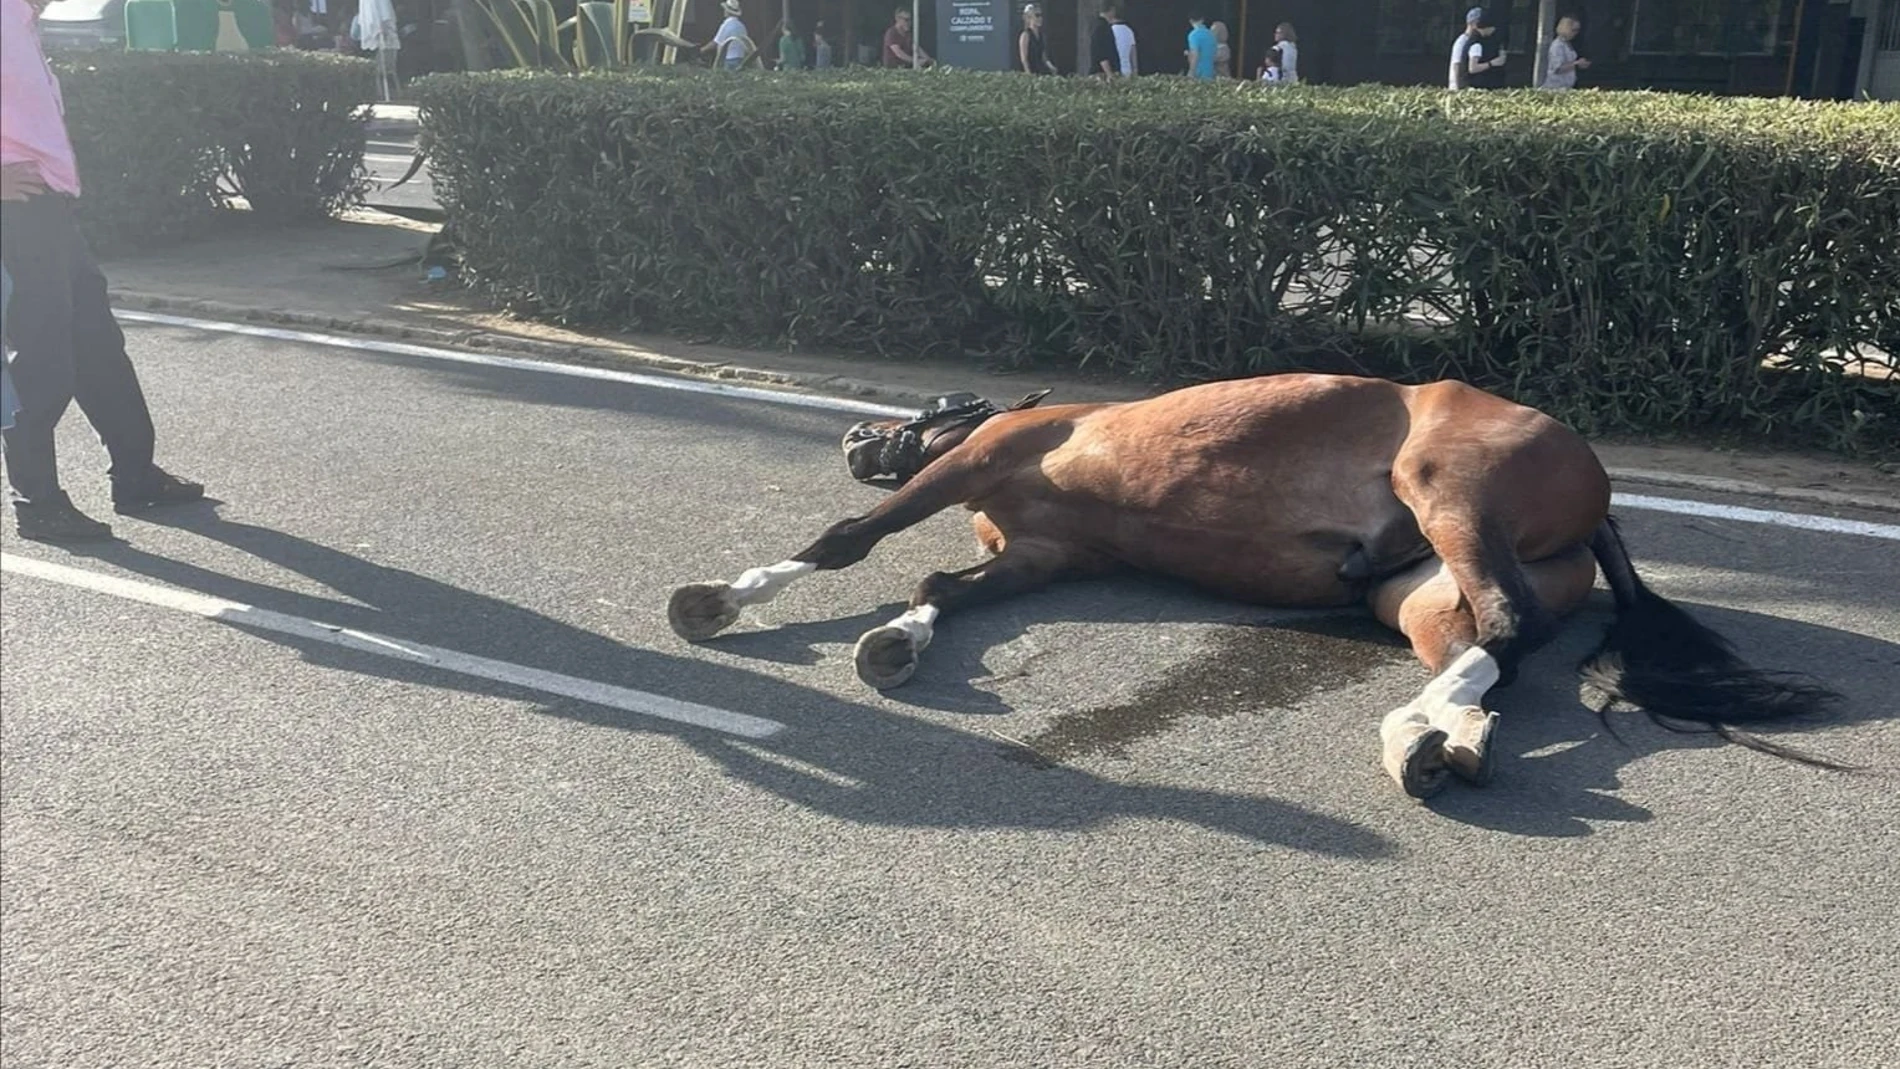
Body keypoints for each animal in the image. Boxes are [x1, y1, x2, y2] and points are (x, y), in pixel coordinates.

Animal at [668, 372, 1839, 797]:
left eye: (929, 409)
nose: (856, 437)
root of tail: (1597, 494)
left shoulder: (975, 464)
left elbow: (853, 540)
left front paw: (724, 599)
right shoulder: (1046, 555)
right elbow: (943, 582)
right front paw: (897, 642)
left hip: (1448, 494)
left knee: (1504, 626)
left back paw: (1412, 733)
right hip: (1417, 591)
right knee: (1489, 650)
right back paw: (1439, 737)